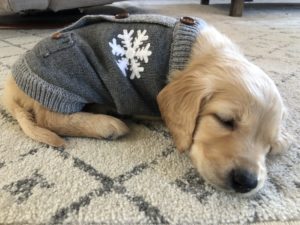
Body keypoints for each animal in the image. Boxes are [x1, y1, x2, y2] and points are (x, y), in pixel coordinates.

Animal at [1, 14, 290, 194]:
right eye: (225, 121)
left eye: (269, 144)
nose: (246, 182)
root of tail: (11, 86)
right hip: (71, 76)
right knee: (49, 117)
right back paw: (106, 123)